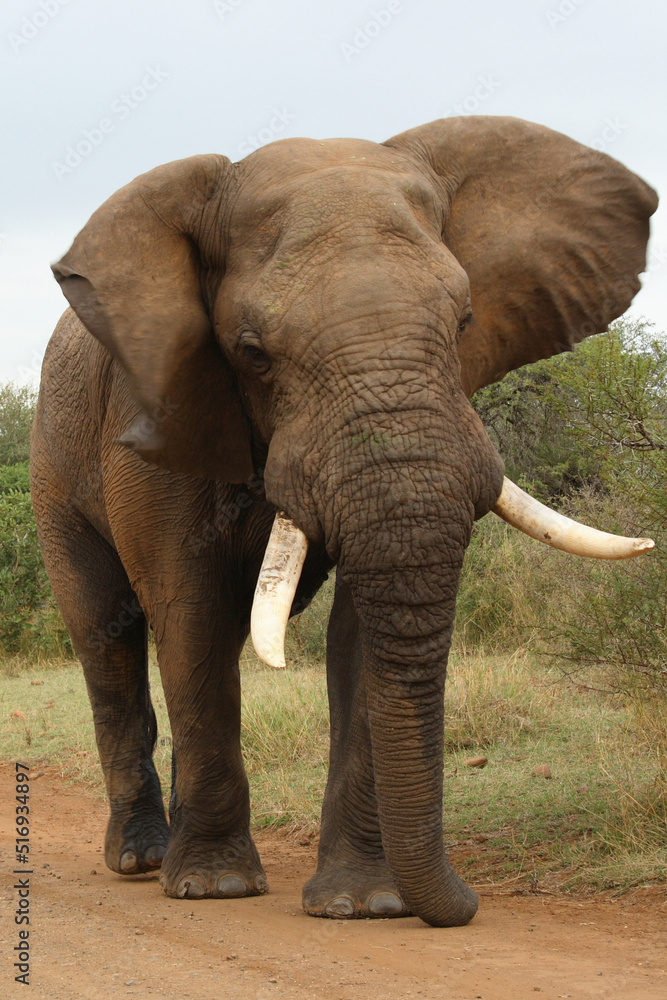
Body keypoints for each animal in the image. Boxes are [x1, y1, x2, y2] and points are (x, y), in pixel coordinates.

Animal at [30, 116, 657, 928]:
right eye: (252, 352)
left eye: (464, 322)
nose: (466, 902)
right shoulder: (156, 411)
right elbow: (188, 608)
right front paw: (215, 887)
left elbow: (360, 633)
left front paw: (365, 903)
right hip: (53, 466)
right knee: (107, 635)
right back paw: (142, 861)